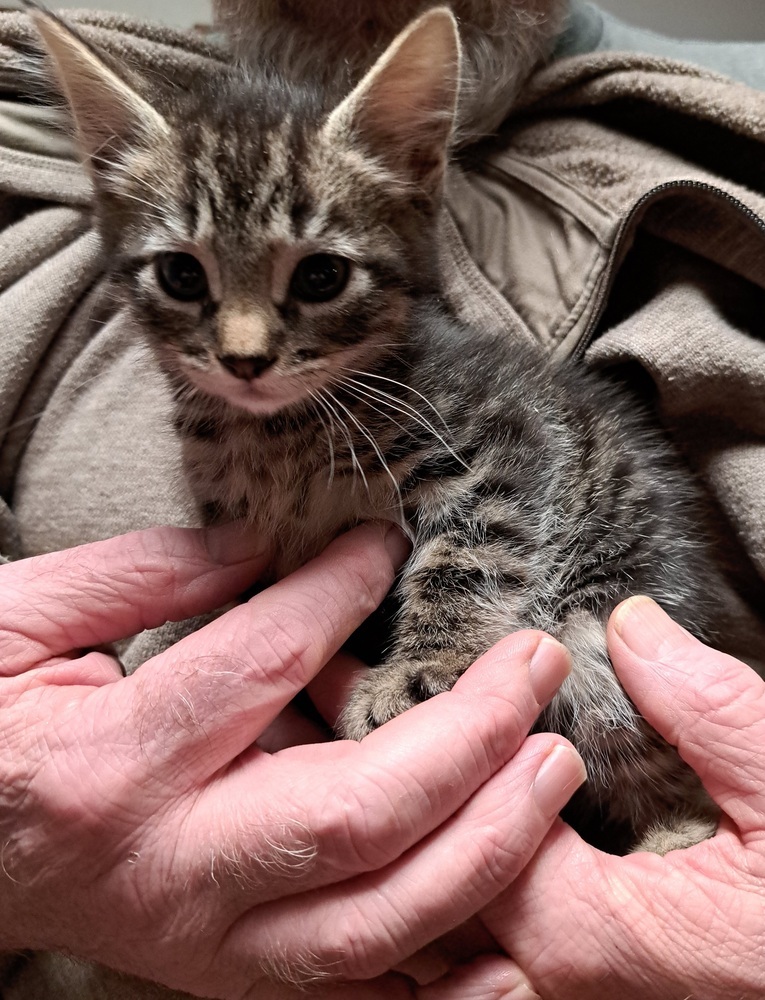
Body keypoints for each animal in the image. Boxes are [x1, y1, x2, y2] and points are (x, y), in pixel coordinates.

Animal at [29, 5, 720, 852]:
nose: (244, 359)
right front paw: (180, 635)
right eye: (182, 275)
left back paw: (672, 833)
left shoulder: (506, 443)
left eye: (321, 275)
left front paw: (417, 671)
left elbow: (468, 556)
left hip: (599, 624)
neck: (281, 429)